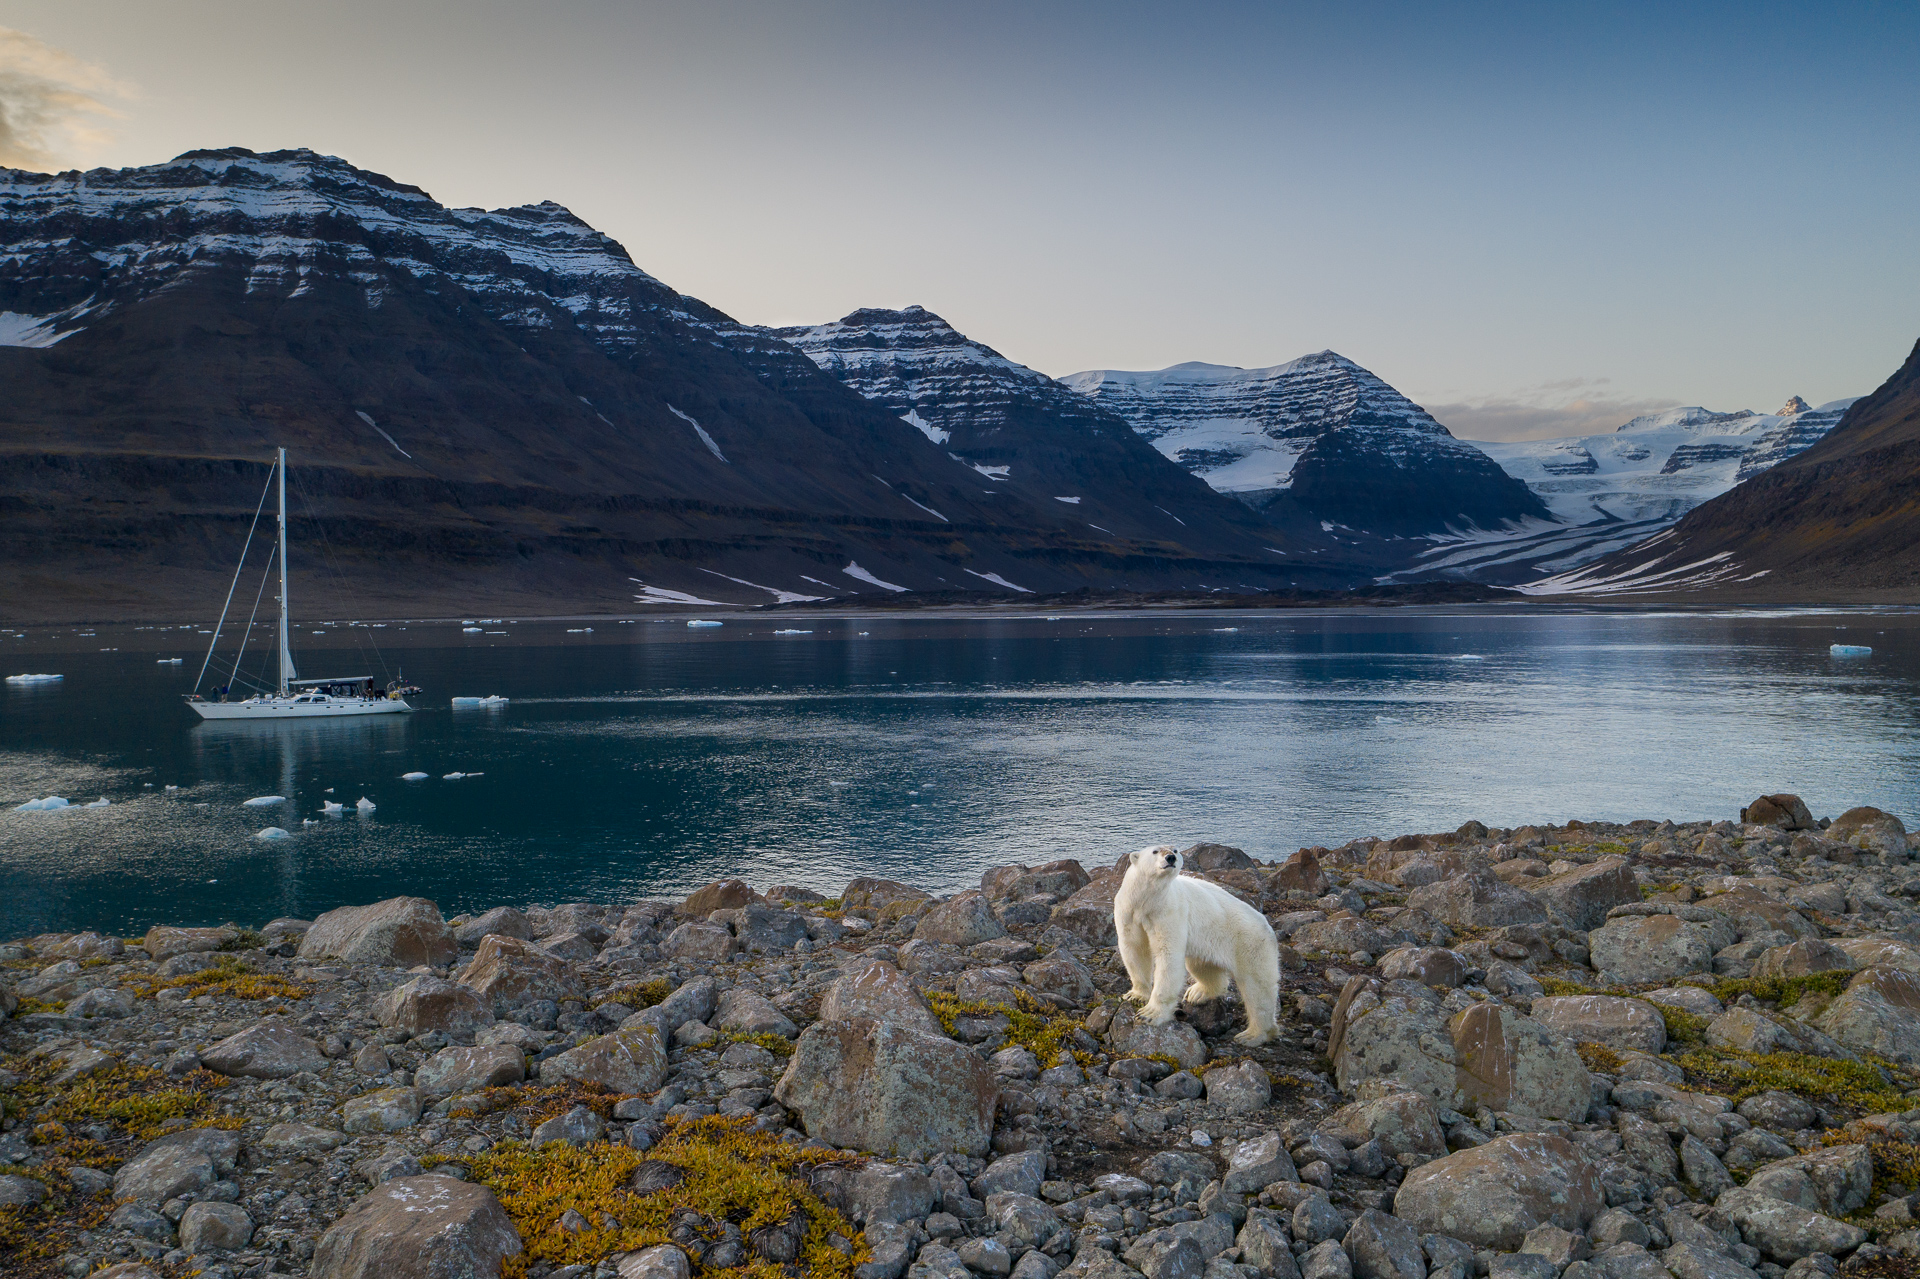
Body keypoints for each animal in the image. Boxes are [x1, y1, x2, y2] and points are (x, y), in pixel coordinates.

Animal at [1113, 841, 1274, 1044]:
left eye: (1175, 850)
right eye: (1155, 851)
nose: (1170, 858)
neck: (1146, 899)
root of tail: (1267, 925)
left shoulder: (1168, 912)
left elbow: (1168, 956)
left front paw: (1149, 1014)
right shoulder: (1129, 910)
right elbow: (1134, 948)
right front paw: (1135, 995)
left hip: (1250, 944)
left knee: (1257, 990)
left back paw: (1252, 1034)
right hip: (1211, 942)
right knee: (1202, 966)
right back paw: (1198, 993)